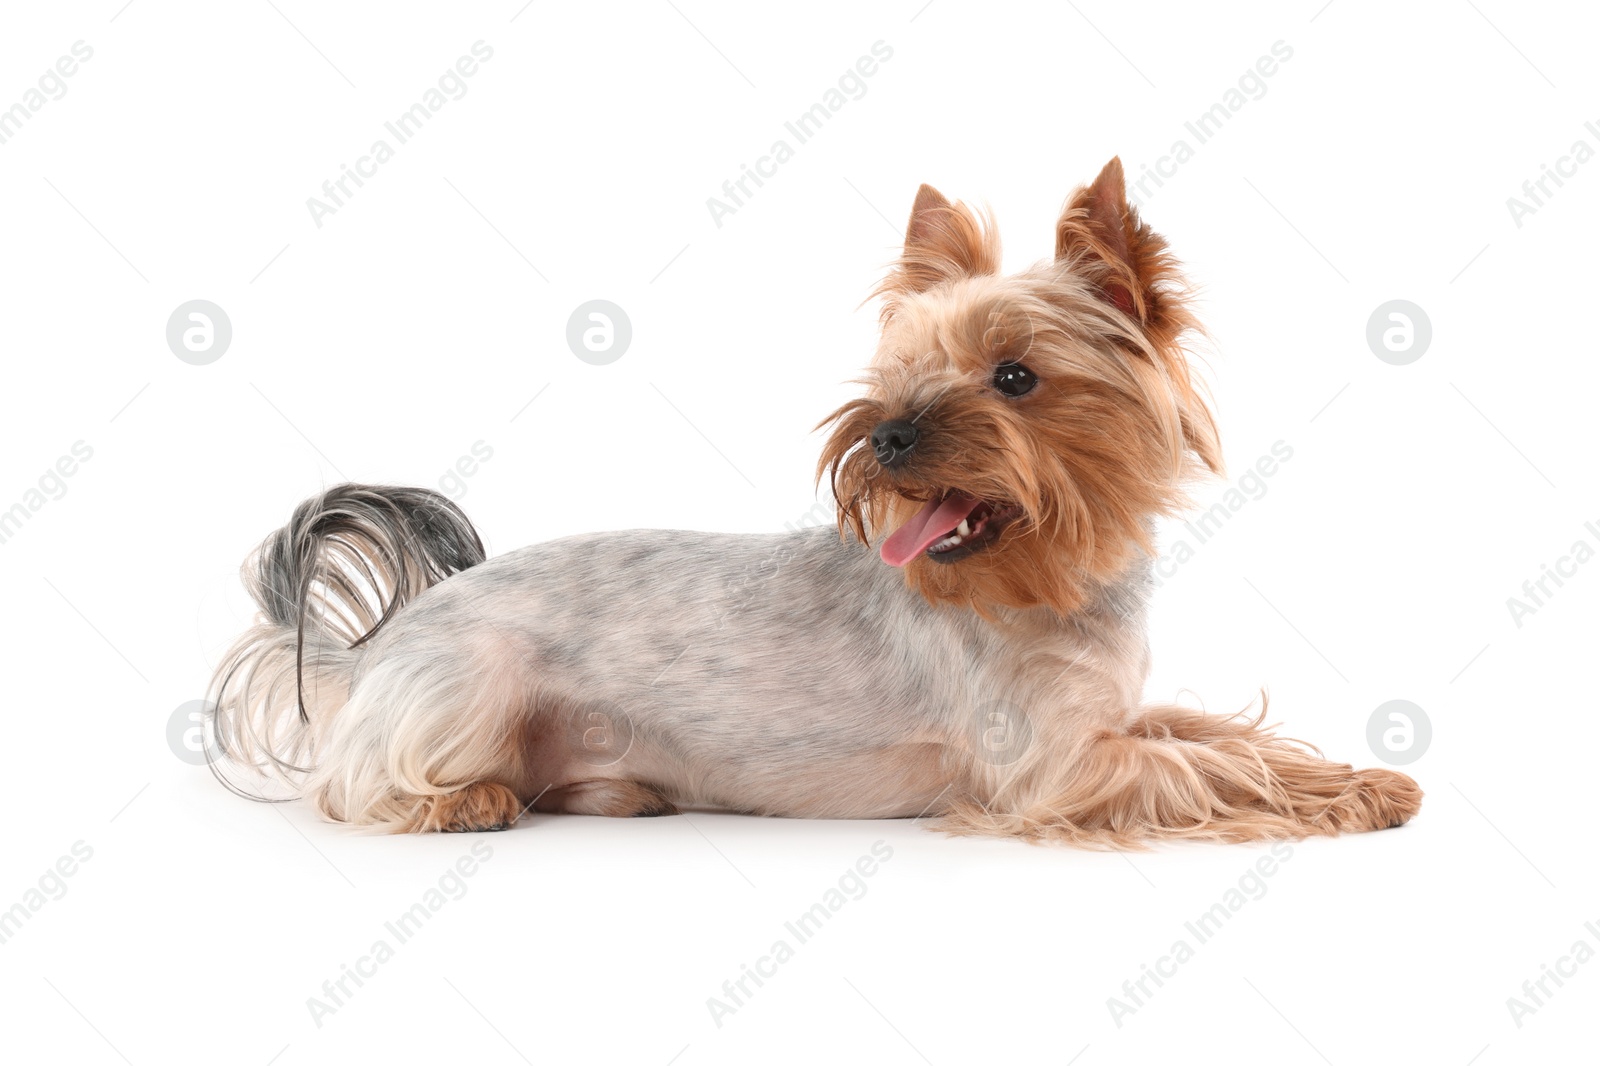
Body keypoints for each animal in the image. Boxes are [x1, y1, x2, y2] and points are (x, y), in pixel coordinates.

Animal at [209, 157, 1427, 845]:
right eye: (899, 375)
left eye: (1015, 378)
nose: (882, 435)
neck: (1047, 579)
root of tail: (381, 640)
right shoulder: (1061, 768)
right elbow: (1208, 767)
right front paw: (1356, 799)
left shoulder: (1114, 717)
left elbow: (1225, 734)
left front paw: (1355, 774)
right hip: (477, 679)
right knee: (351, 786)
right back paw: (451, 801)